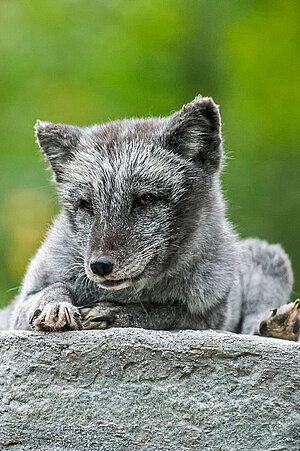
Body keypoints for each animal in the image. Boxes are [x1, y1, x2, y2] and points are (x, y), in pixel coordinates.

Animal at [0, 94, 296, 336]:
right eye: (86, 205)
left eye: (145, 199)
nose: (99, 265)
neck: (129, 292)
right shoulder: (17, 308)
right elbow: (49, 290)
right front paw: (55, 306)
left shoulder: (209, 316)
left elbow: (162, 312)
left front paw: (117, 313)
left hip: (269, 258)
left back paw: (277, 325)